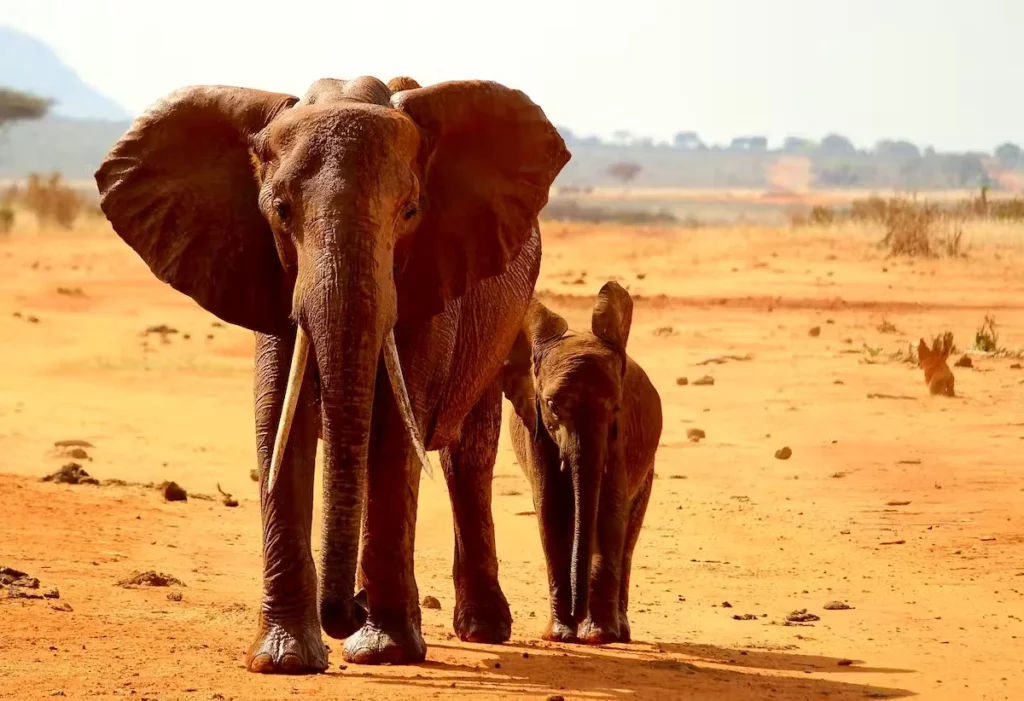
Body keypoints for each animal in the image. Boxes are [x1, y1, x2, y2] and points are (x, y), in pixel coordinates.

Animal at [96, 76, 573, 671]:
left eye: (411, 211)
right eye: (279, 210)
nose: (346, 609)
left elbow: (393, 428)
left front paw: (384, 651)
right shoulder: (266, 277)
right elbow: (279, 420)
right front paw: (283, 660)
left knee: (468, 456)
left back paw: (479, 629)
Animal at [503, 282, 663, 642]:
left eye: (615, 405)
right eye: (551, 405)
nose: (577, 615)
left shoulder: (619, 436)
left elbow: (610, 510)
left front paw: (598, 636)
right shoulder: (535, 428)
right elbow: (549, 510)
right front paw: (560, 635)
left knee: (628, 534)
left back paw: (620, 631)